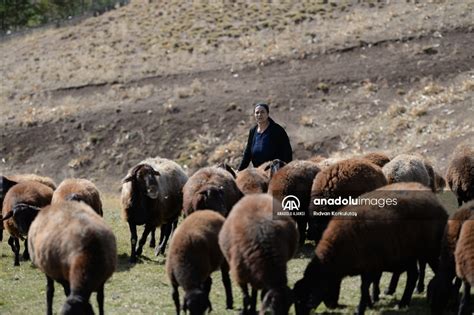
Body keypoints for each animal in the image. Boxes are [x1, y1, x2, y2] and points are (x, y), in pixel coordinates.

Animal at [292, 183, 448, 315]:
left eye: (305, 299)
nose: (332, 306)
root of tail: (435, 200)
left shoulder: (370, 265)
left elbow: (364, 287)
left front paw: (360, 309)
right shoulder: (368, 266)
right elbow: (368, 286)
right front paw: (370, 303)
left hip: (429, 250)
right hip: (409, 253)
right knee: (413, 275)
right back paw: (404, 302)